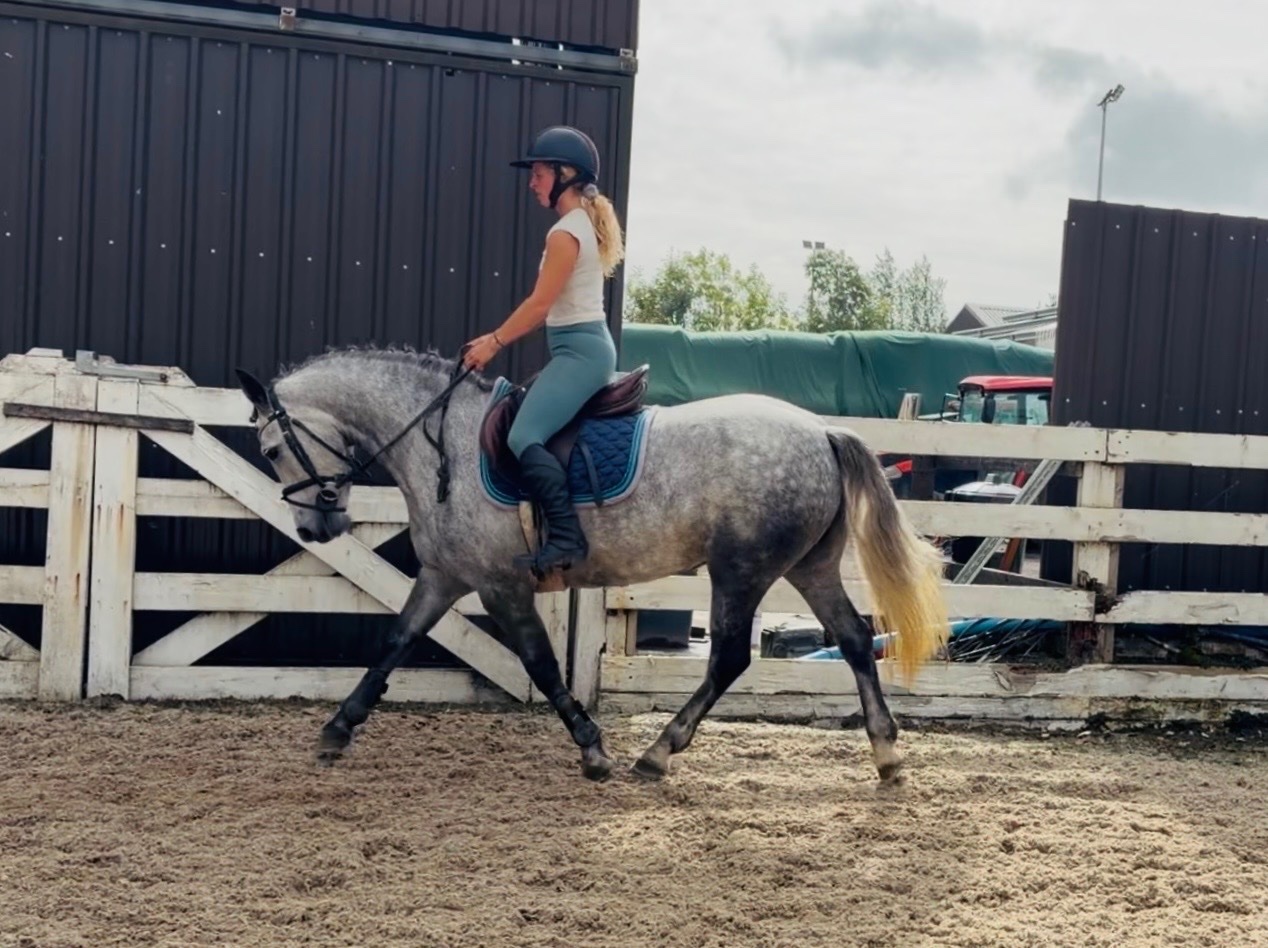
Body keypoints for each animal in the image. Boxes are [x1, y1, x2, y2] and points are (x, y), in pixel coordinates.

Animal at [234, 345, 949, 783]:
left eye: (269, 449)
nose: (315, 527)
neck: (443, 446)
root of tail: (822, 430)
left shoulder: (500, 586)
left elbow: (542, 665)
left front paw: (593, 748)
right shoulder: (444, 577)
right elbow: (393, 643)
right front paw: (337, 728)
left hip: (740, 571)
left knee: (728, 659)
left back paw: (657, 753)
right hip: (808, 568)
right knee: (854, 639)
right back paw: (886, 754)